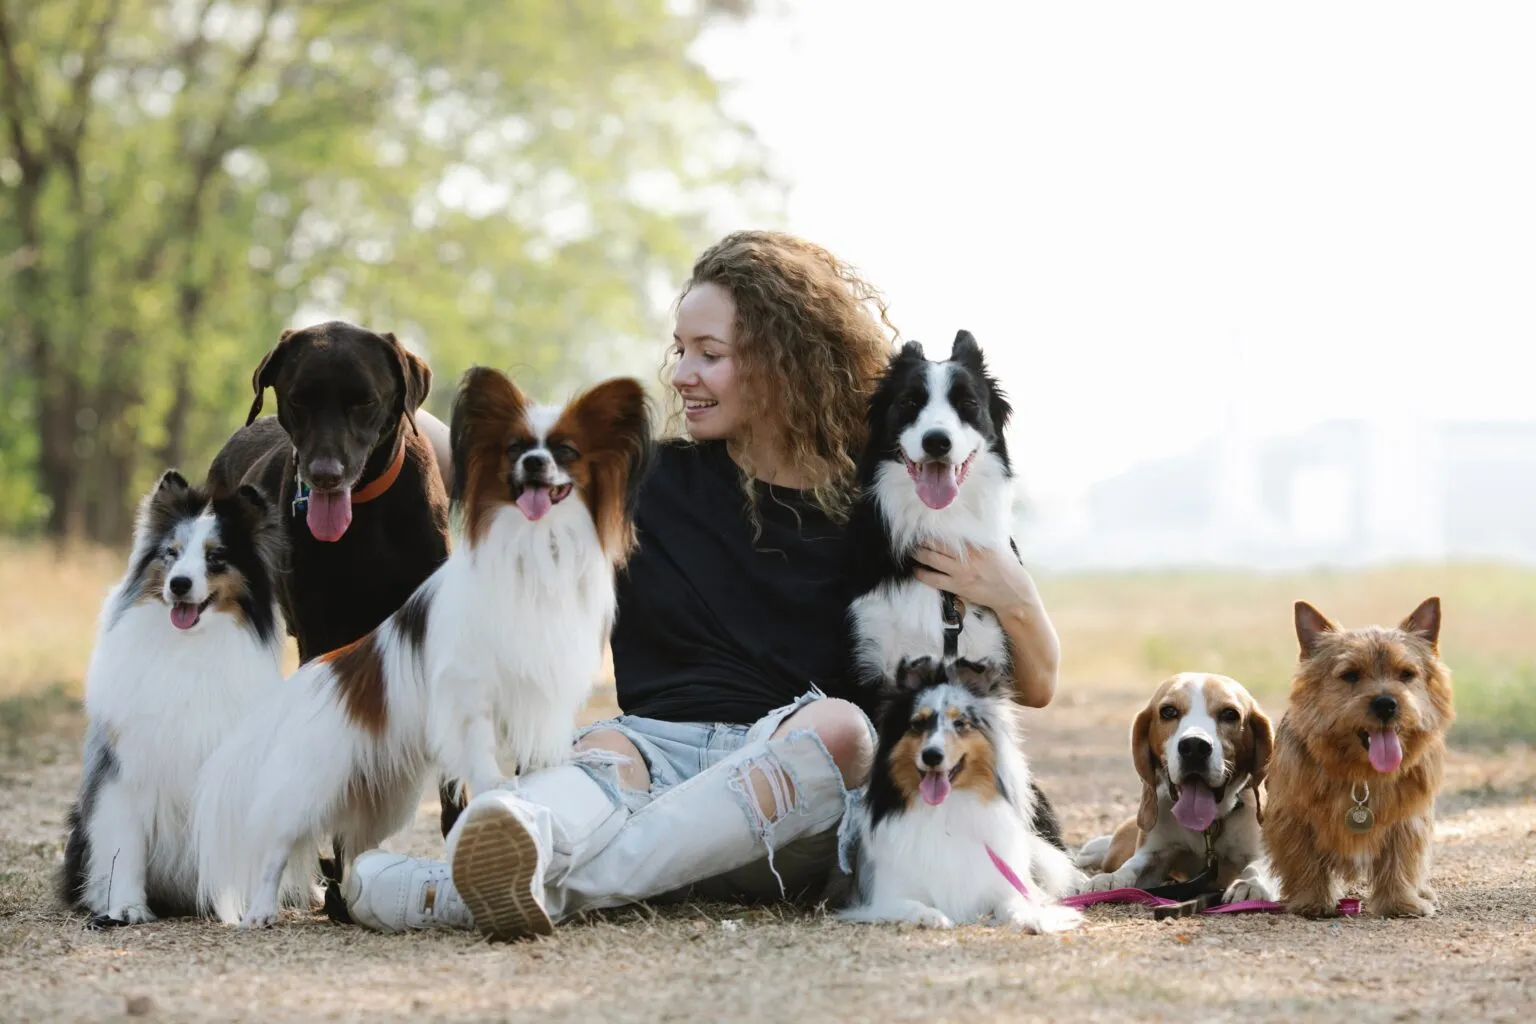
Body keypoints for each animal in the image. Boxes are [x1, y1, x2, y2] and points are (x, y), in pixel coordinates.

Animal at [58, 472, 302, 927]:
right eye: (170, 554)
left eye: (216, 558)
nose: (179, 585)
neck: (187, 647)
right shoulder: (124, 772)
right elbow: (124, 846)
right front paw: (127, 907)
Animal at [190, 368, 648, 927]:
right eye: (516, 449)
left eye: (565, 451)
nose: (535, 463)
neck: (535, 550)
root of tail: (308, 683)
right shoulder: (468, 686)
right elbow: (480, 749)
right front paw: (498, 791)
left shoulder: (544, 688)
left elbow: (541, 755)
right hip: (309, 788)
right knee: (278, 845)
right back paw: (262, 910)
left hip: (378, 798)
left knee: (351, 844)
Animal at [841, 657, 1081, 939]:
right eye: (917, 724)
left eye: (960, 724)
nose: (931, 756)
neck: (946, 810)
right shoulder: (885, 896)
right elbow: (910, 905)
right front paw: (930, 916)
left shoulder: (1002, 883)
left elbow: (1015, 903)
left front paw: (1033, 918)